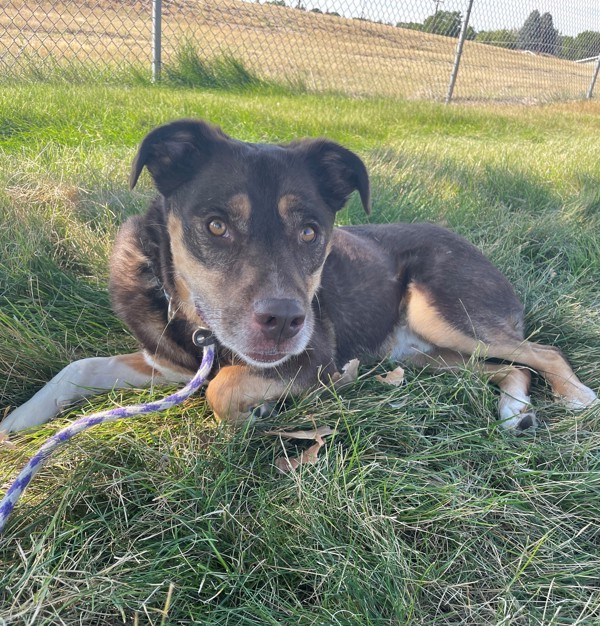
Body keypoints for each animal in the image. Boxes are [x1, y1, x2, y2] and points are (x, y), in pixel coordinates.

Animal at [2, 117, 596, 432]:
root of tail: (475, 248)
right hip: (428, 354)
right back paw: (514, 410)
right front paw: (18, 421)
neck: (198, 326)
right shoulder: (167, 365)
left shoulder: (312, 359)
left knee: (543, 352)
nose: (285, 322)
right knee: (508, 368)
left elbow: (223, 390)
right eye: (216, 225)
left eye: (310, 232)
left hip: (448, 315)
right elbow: (82, 365)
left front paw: (261, 412)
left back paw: (575, 398)